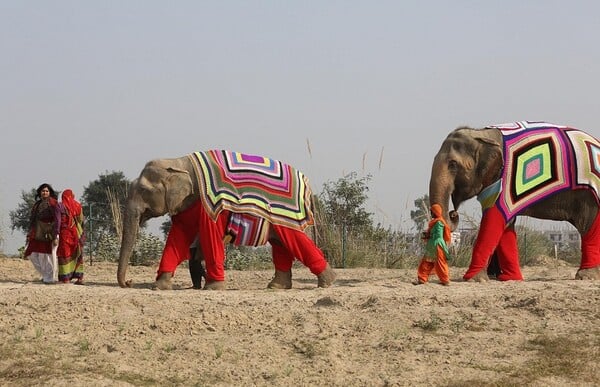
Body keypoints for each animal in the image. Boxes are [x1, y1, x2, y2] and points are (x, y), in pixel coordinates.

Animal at [115, 150, 336, 290]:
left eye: (144, 190)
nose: (129, 282)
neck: (179, 161)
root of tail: (307, 184)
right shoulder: (187, 202)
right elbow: (179, 235)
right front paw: (159, 286)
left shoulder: (213, 203)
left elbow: (209, 234)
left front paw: (213, 287)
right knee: (281, 243)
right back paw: (276, 287)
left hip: (286, 212)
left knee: (293, 239)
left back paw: (327, 282)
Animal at [428, 121, 596, 282]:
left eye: (453, 164)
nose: (453, 213)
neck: (483, 134)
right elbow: (506, 223)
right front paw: (510, 278)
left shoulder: (506, 178)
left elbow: (494, 219)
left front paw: (474, 279)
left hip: (588, 191)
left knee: (587, 222)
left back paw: (585, 276)